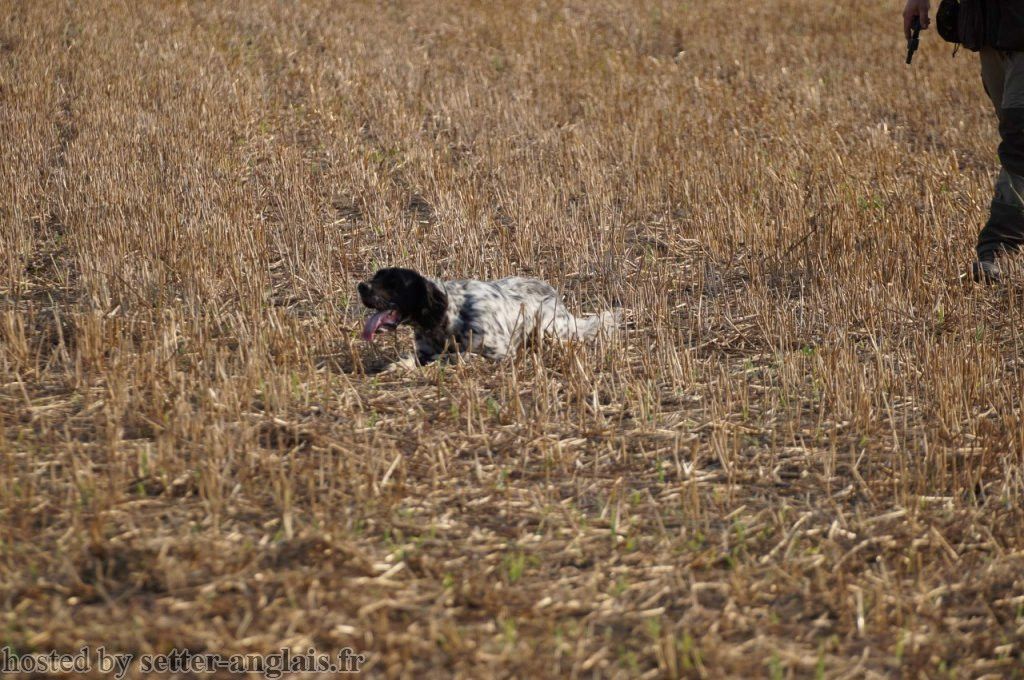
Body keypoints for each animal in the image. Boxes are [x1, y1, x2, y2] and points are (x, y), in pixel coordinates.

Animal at [360, 266, 614, 364]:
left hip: (547, 328)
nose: (361, 286)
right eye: (375, 277)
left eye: (393, 284)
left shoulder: (499, 352)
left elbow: (457, 356)